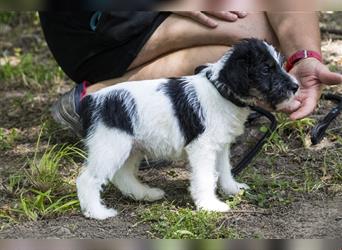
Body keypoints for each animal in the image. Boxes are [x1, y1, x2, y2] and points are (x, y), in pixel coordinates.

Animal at [76, 38, 298, 220]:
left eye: (279, 65)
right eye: (266, 69)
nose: (295, 87)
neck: (221, 91)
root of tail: (91, 101)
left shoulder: (221, 145)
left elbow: (224, 170)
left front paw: (232, 189)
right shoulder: (203, 148)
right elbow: (205, 177)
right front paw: (210, 206)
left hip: (132, 147)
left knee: (122, 175)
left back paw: (144, 194)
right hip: (111, 146)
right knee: (87, 180)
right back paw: (97, 212)